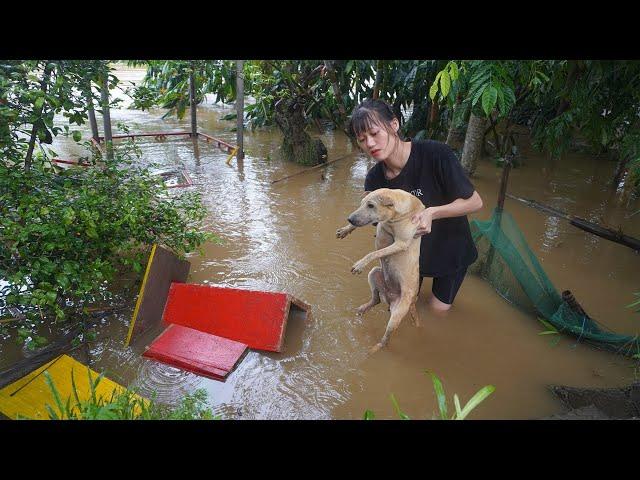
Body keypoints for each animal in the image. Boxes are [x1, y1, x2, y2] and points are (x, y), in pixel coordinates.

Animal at [336, 188, 424, 352]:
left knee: (386, 339)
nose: (349, 219)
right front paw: (345, 230)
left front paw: (359, 264)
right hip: (375, 273)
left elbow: (374, 253)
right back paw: (363, 308)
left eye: (371, 205)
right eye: (362, 203)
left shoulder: (400, 243)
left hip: (396, 315)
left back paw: (374, 349)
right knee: (375, 299)